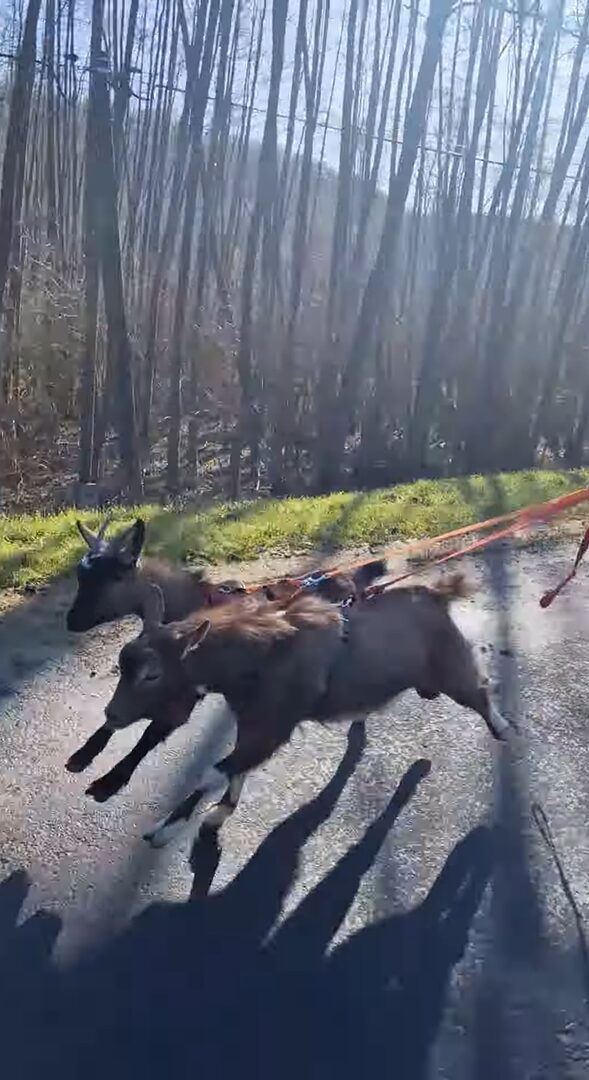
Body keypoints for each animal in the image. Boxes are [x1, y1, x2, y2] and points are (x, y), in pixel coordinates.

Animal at [103, 578, 507, 846]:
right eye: (122, 664)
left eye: (152, 674)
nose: (111, 715)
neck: (259, 655)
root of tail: (438, 594)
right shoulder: (251, 724)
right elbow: (233, 770)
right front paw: (216, 814)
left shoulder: (273, 728)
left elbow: (211, 772)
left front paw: (164, 831)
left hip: (451, 667)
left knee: (479, 690)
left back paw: (503, 729)